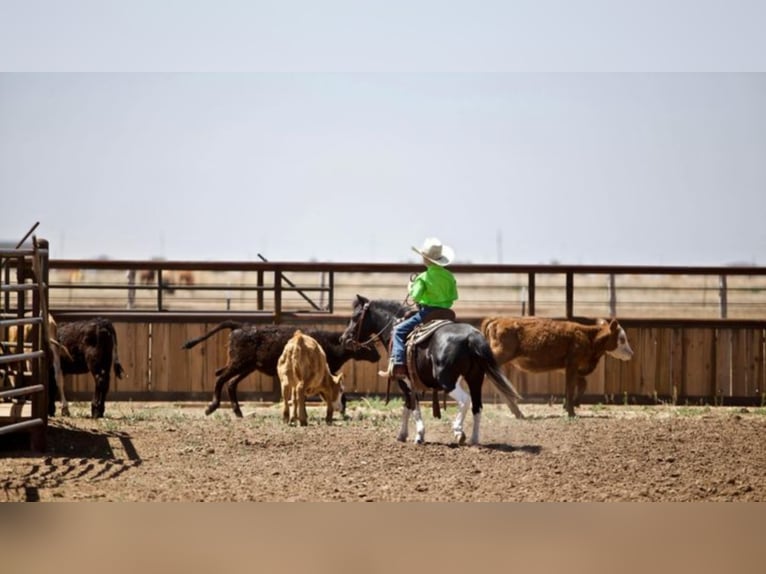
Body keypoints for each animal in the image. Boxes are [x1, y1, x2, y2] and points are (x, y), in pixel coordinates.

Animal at [344, 296, 528, 446]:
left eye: (355, 317)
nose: (345, 338)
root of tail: (471, 336)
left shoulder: (405, 381)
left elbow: (413, 406)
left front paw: (419, 435)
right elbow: (407, 406)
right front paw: (402, 434)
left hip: (447, 381)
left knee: (465, 401)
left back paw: (458, 430)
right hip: (475, 378)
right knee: (477, 406)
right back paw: (474, 439)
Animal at [480, 320, 636, 418]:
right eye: (622, 339)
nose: (631, 354)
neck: (587, 337)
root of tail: (497, 321)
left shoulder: (567, 368)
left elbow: (581, 384)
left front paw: (571, 404)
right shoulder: (572, 364)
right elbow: (571, 387)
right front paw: (571, 412)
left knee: (499, 383)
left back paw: (517, 412)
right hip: (499, 356)